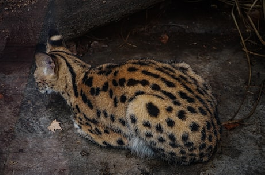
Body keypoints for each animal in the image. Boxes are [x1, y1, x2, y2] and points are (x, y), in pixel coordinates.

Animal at [35, 29, 221, 165]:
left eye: (36, 77)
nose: (37, 88)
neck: (78, 74)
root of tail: (215, 138)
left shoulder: (109, 131)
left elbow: (107, 135)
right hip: (181, 66)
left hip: (141, 104)